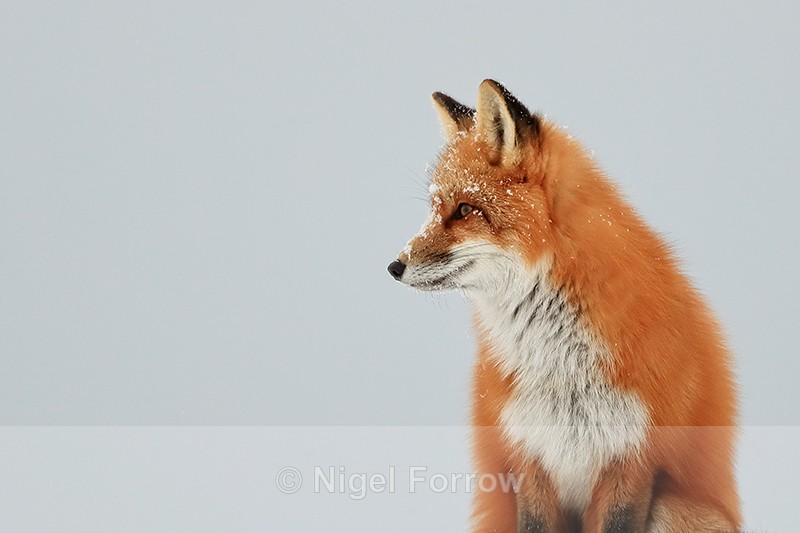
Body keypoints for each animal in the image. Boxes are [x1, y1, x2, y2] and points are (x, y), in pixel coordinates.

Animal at [388, 80, 741, 533]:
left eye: (465, 209)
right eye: (434, 209)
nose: (394, 266)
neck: (561, 366)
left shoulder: (632, 460)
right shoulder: (529, 454)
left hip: (674, 507)